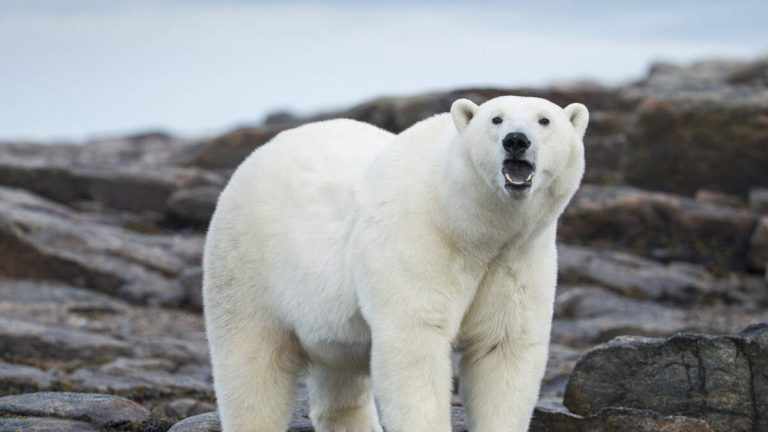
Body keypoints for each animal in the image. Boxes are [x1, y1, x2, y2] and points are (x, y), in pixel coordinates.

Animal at [203, 95, 588, 432]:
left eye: (544, 120)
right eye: (496, 119)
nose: (516, 141)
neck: (467, 224)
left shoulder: (518, 259)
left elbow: (503, 347)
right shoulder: (418, 242)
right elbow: (414, 344)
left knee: (339, 377)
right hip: (247, 266)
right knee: (251, 367)